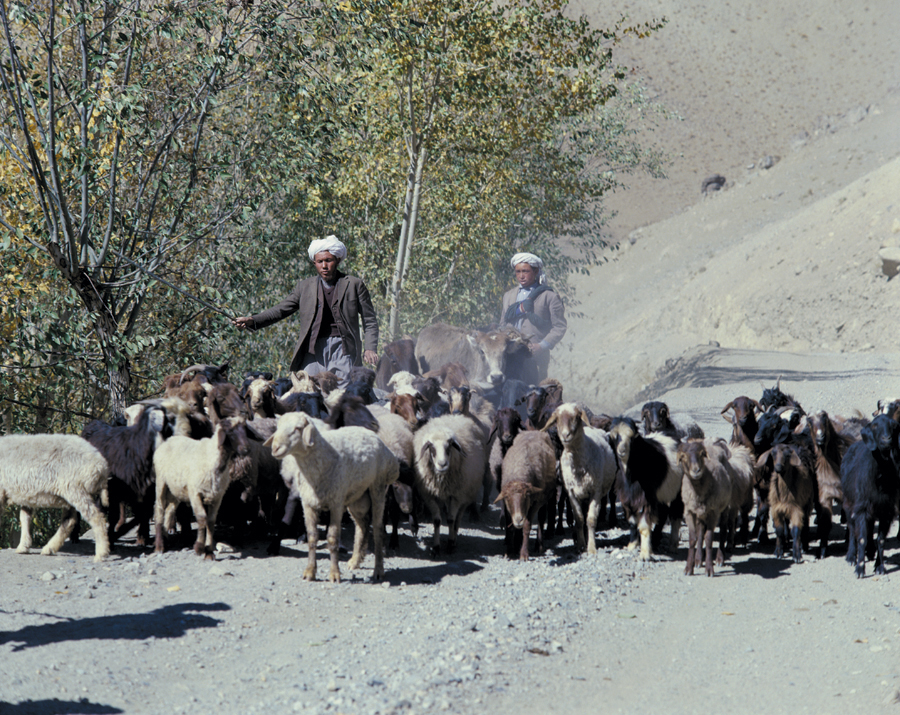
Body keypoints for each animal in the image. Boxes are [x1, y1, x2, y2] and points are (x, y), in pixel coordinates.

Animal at [0, 434, 110, 564]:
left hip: (76, 489)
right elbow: (25, 518)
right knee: (69, 521)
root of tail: (101, 467)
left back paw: (101, 554)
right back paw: (49, 548)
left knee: (96, 518)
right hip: (71, 493)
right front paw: (23, 547)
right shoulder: (27, 495)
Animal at [151, 414, 250, 560]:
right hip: (161, 482)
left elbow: (211, 521)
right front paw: (199, 547)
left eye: (245, 430)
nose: (246, 449)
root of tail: (168, 440)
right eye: (230, 431)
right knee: (159, 509)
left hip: (176, 490)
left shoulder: (217, 496)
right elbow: (202, 517)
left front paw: (209, 552)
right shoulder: (195, 493)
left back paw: (165, 538)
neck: (213, 459)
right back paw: (159, 546)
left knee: (169, 510)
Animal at [414, 412, 486, 556]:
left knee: (457, 518)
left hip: (466, 495)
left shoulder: (456, 496)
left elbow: (451, 520)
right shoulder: (429, 496)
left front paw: (451, 544)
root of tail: (455, 415)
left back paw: (455, 539)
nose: (442, 464)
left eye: (449, 446)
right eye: (431, 447)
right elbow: (437, 521)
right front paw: (436, 547)